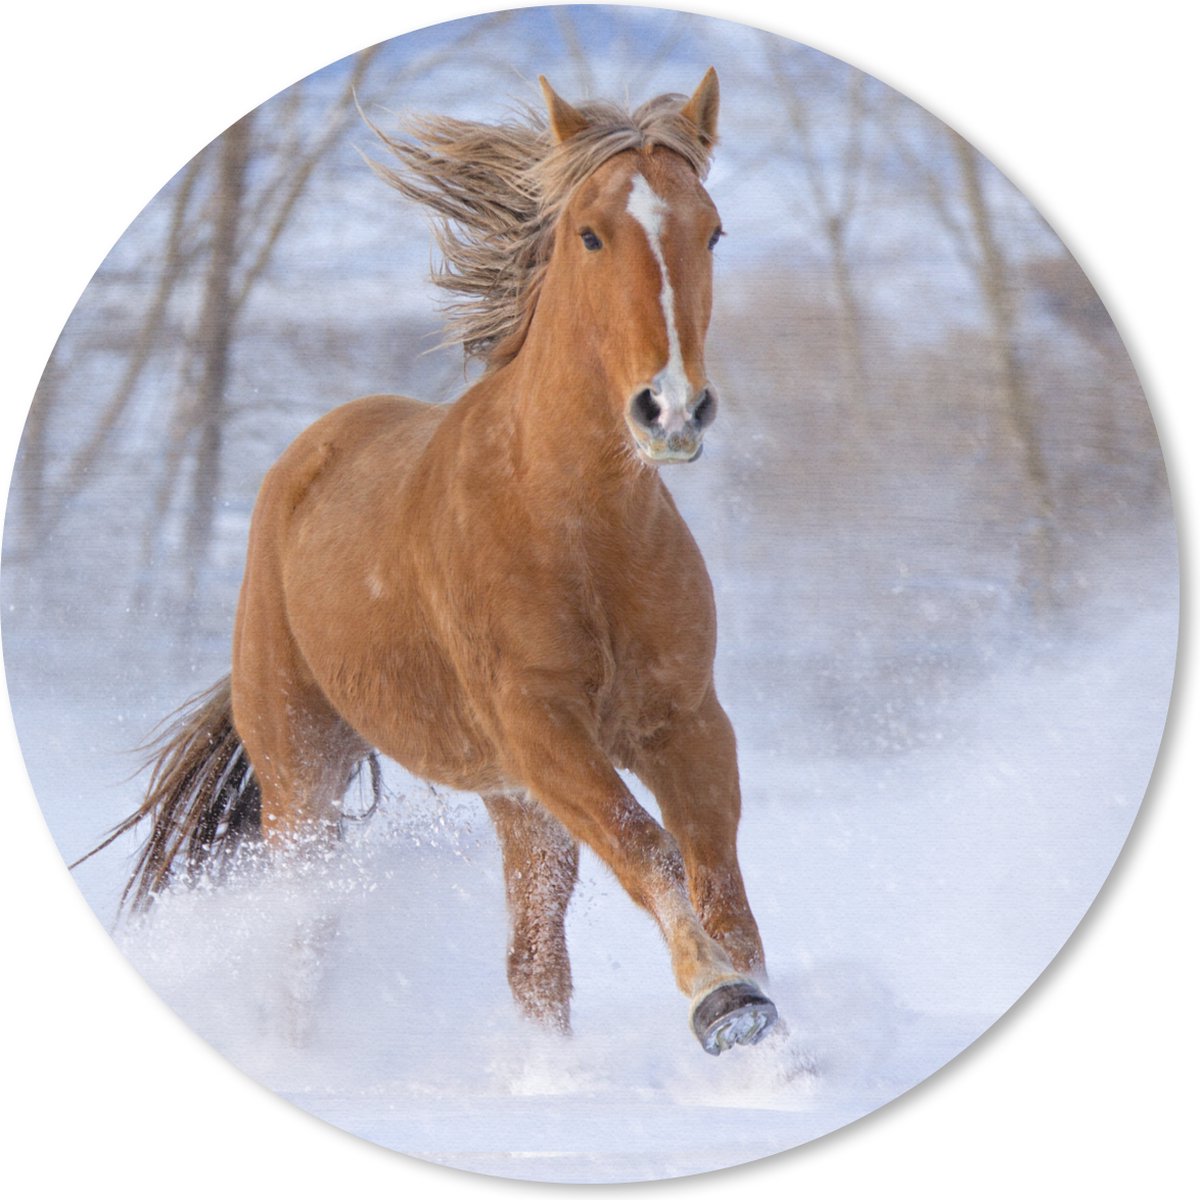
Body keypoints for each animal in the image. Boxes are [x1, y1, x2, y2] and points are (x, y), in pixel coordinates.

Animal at [85, 69, 778, 1055]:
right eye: (590, 233)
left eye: (711, 229)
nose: (671, 410)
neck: (578, 526)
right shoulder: (539, 727)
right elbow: (650, 850)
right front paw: (721, 1000)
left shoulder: (683, 723)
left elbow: (718, 882)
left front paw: (762, 1028)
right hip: (303, 773)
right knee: (306, 935)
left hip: (514, 803)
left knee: (534, 962)